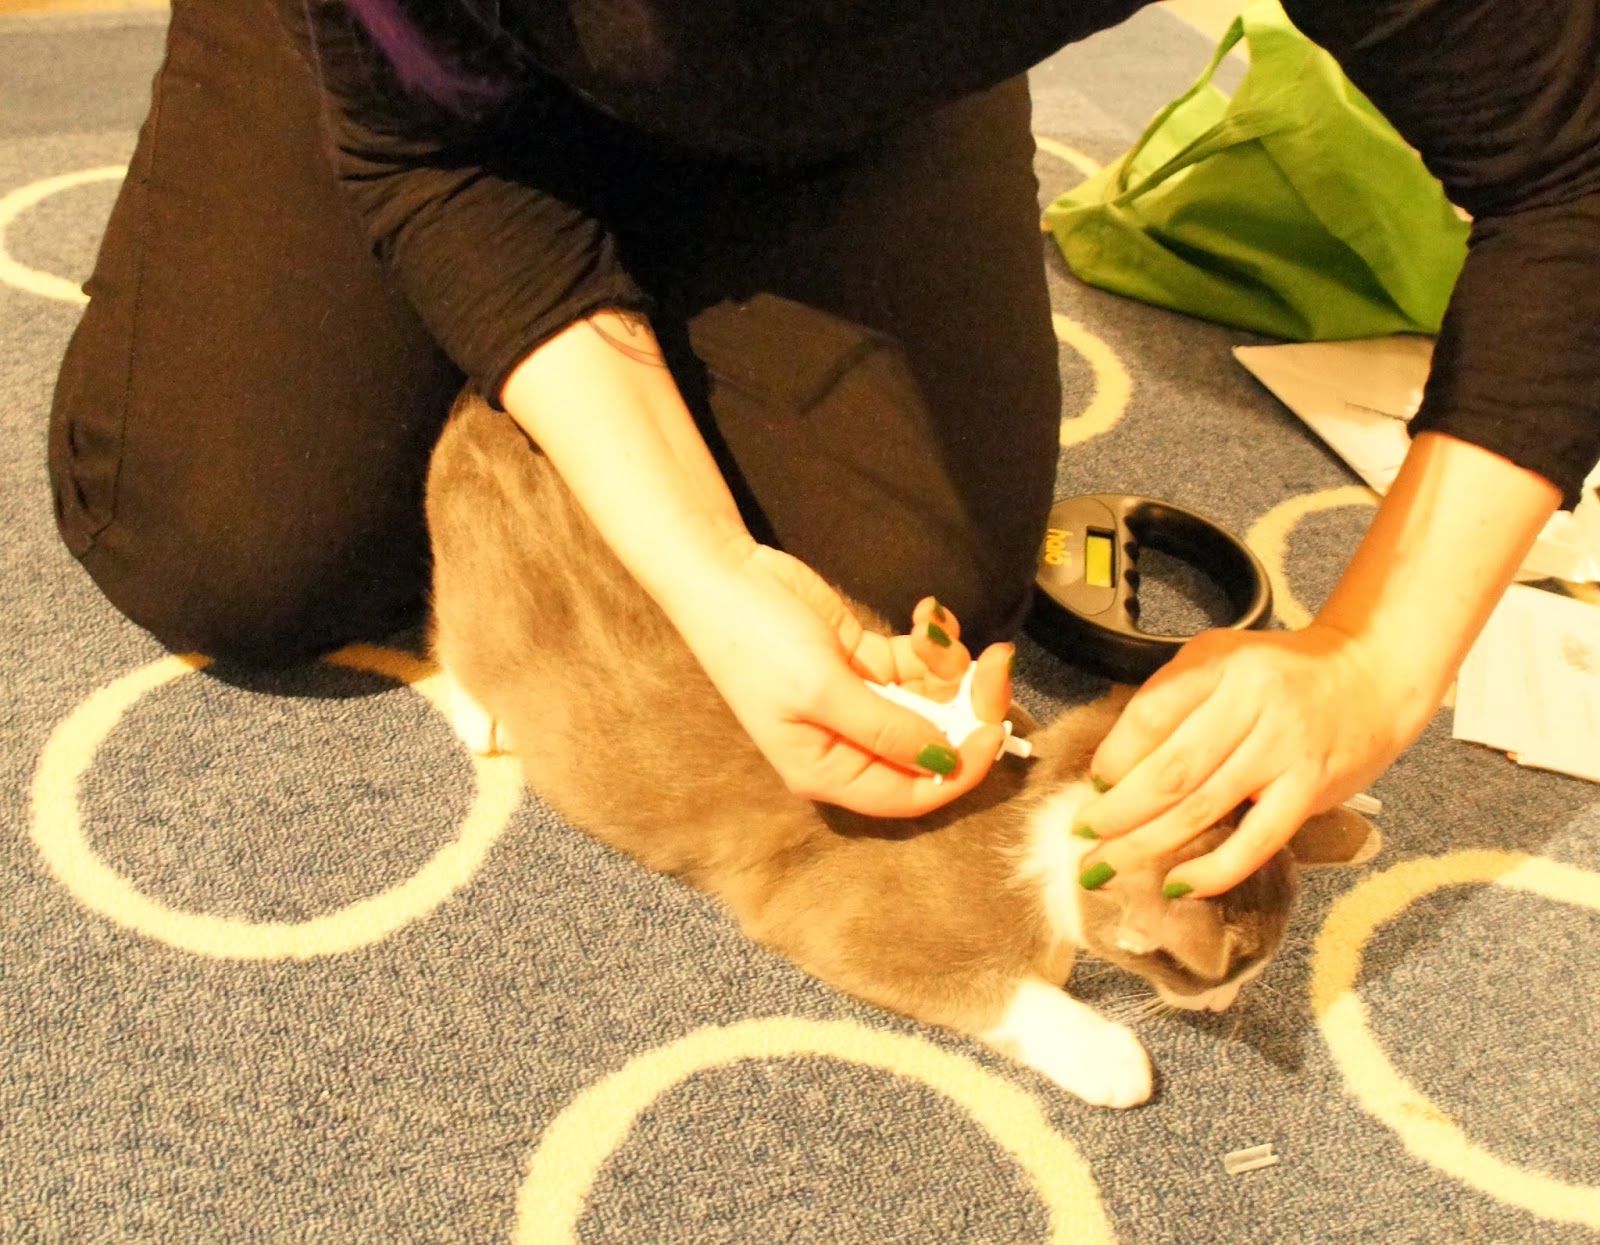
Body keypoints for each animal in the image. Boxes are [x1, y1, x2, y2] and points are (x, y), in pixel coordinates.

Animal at [424, 389, 1376, 1109]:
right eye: (1224, 963)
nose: (1234, 995)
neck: (1046, 821)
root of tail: (481, 421)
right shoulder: (845, 908)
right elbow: (999, 985)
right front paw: (1108, 1052)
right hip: (477, 613)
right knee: (452, 641)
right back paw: (481, 717)